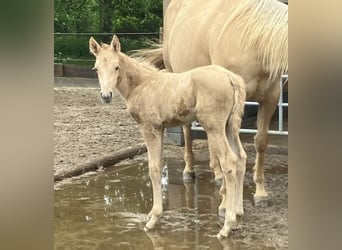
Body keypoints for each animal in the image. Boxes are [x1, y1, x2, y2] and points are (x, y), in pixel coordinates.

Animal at [89, 35, 247, 238]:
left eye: (116, 67)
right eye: (96, 68)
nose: (106, 96)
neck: (141, 84)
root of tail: (231, 78)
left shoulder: (150, 128)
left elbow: (154, 169)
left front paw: (153, 219)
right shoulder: (161, 128)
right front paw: (152, 214)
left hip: (214, 127)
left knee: (230, 162)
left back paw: (227, 225)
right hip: (230, 127)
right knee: (241, 158)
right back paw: (238, 215)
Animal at [140, 0, 288, 200]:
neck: (253, 42)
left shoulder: (270, 100)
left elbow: (261, 141)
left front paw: (260, 191)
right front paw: (226, 195)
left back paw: (217, 174)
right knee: (188, 130)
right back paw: (189, 170)